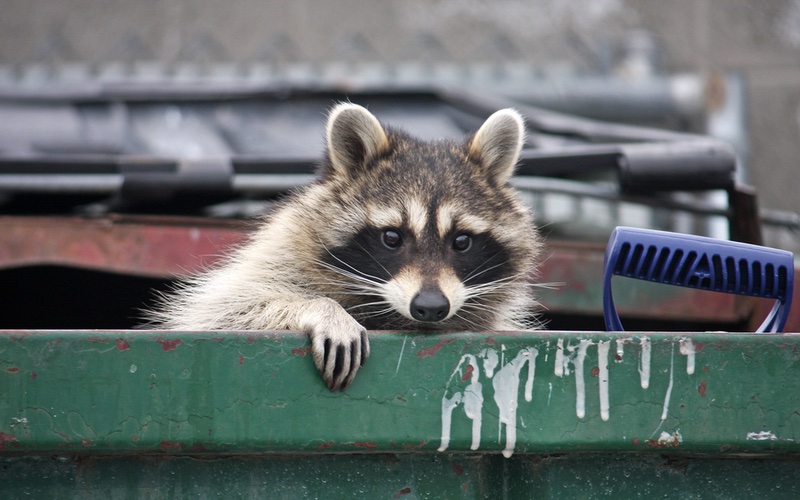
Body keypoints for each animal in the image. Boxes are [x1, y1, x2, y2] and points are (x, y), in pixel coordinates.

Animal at [147, 102, 540, 390]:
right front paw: (321, 308)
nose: (430, 306)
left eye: (461, 241)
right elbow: (224, 309)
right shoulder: (276, 254)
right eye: (392, 237)